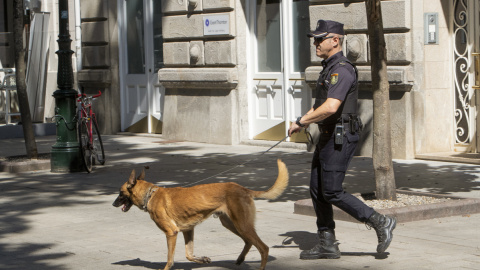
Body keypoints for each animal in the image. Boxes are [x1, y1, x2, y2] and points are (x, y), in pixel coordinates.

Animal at [112, 159, 288, 268]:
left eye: (120, 193)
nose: (113, 204)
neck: (151, 195)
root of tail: (243, 189)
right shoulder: (188, 230)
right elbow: (188, 254)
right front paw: (202, 259)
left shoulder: (171, 233)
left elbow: (170, 259)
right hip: (231, 224)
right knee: (249, 242)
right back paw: (240, 259)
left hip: (242, 225)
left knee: (263, 248)